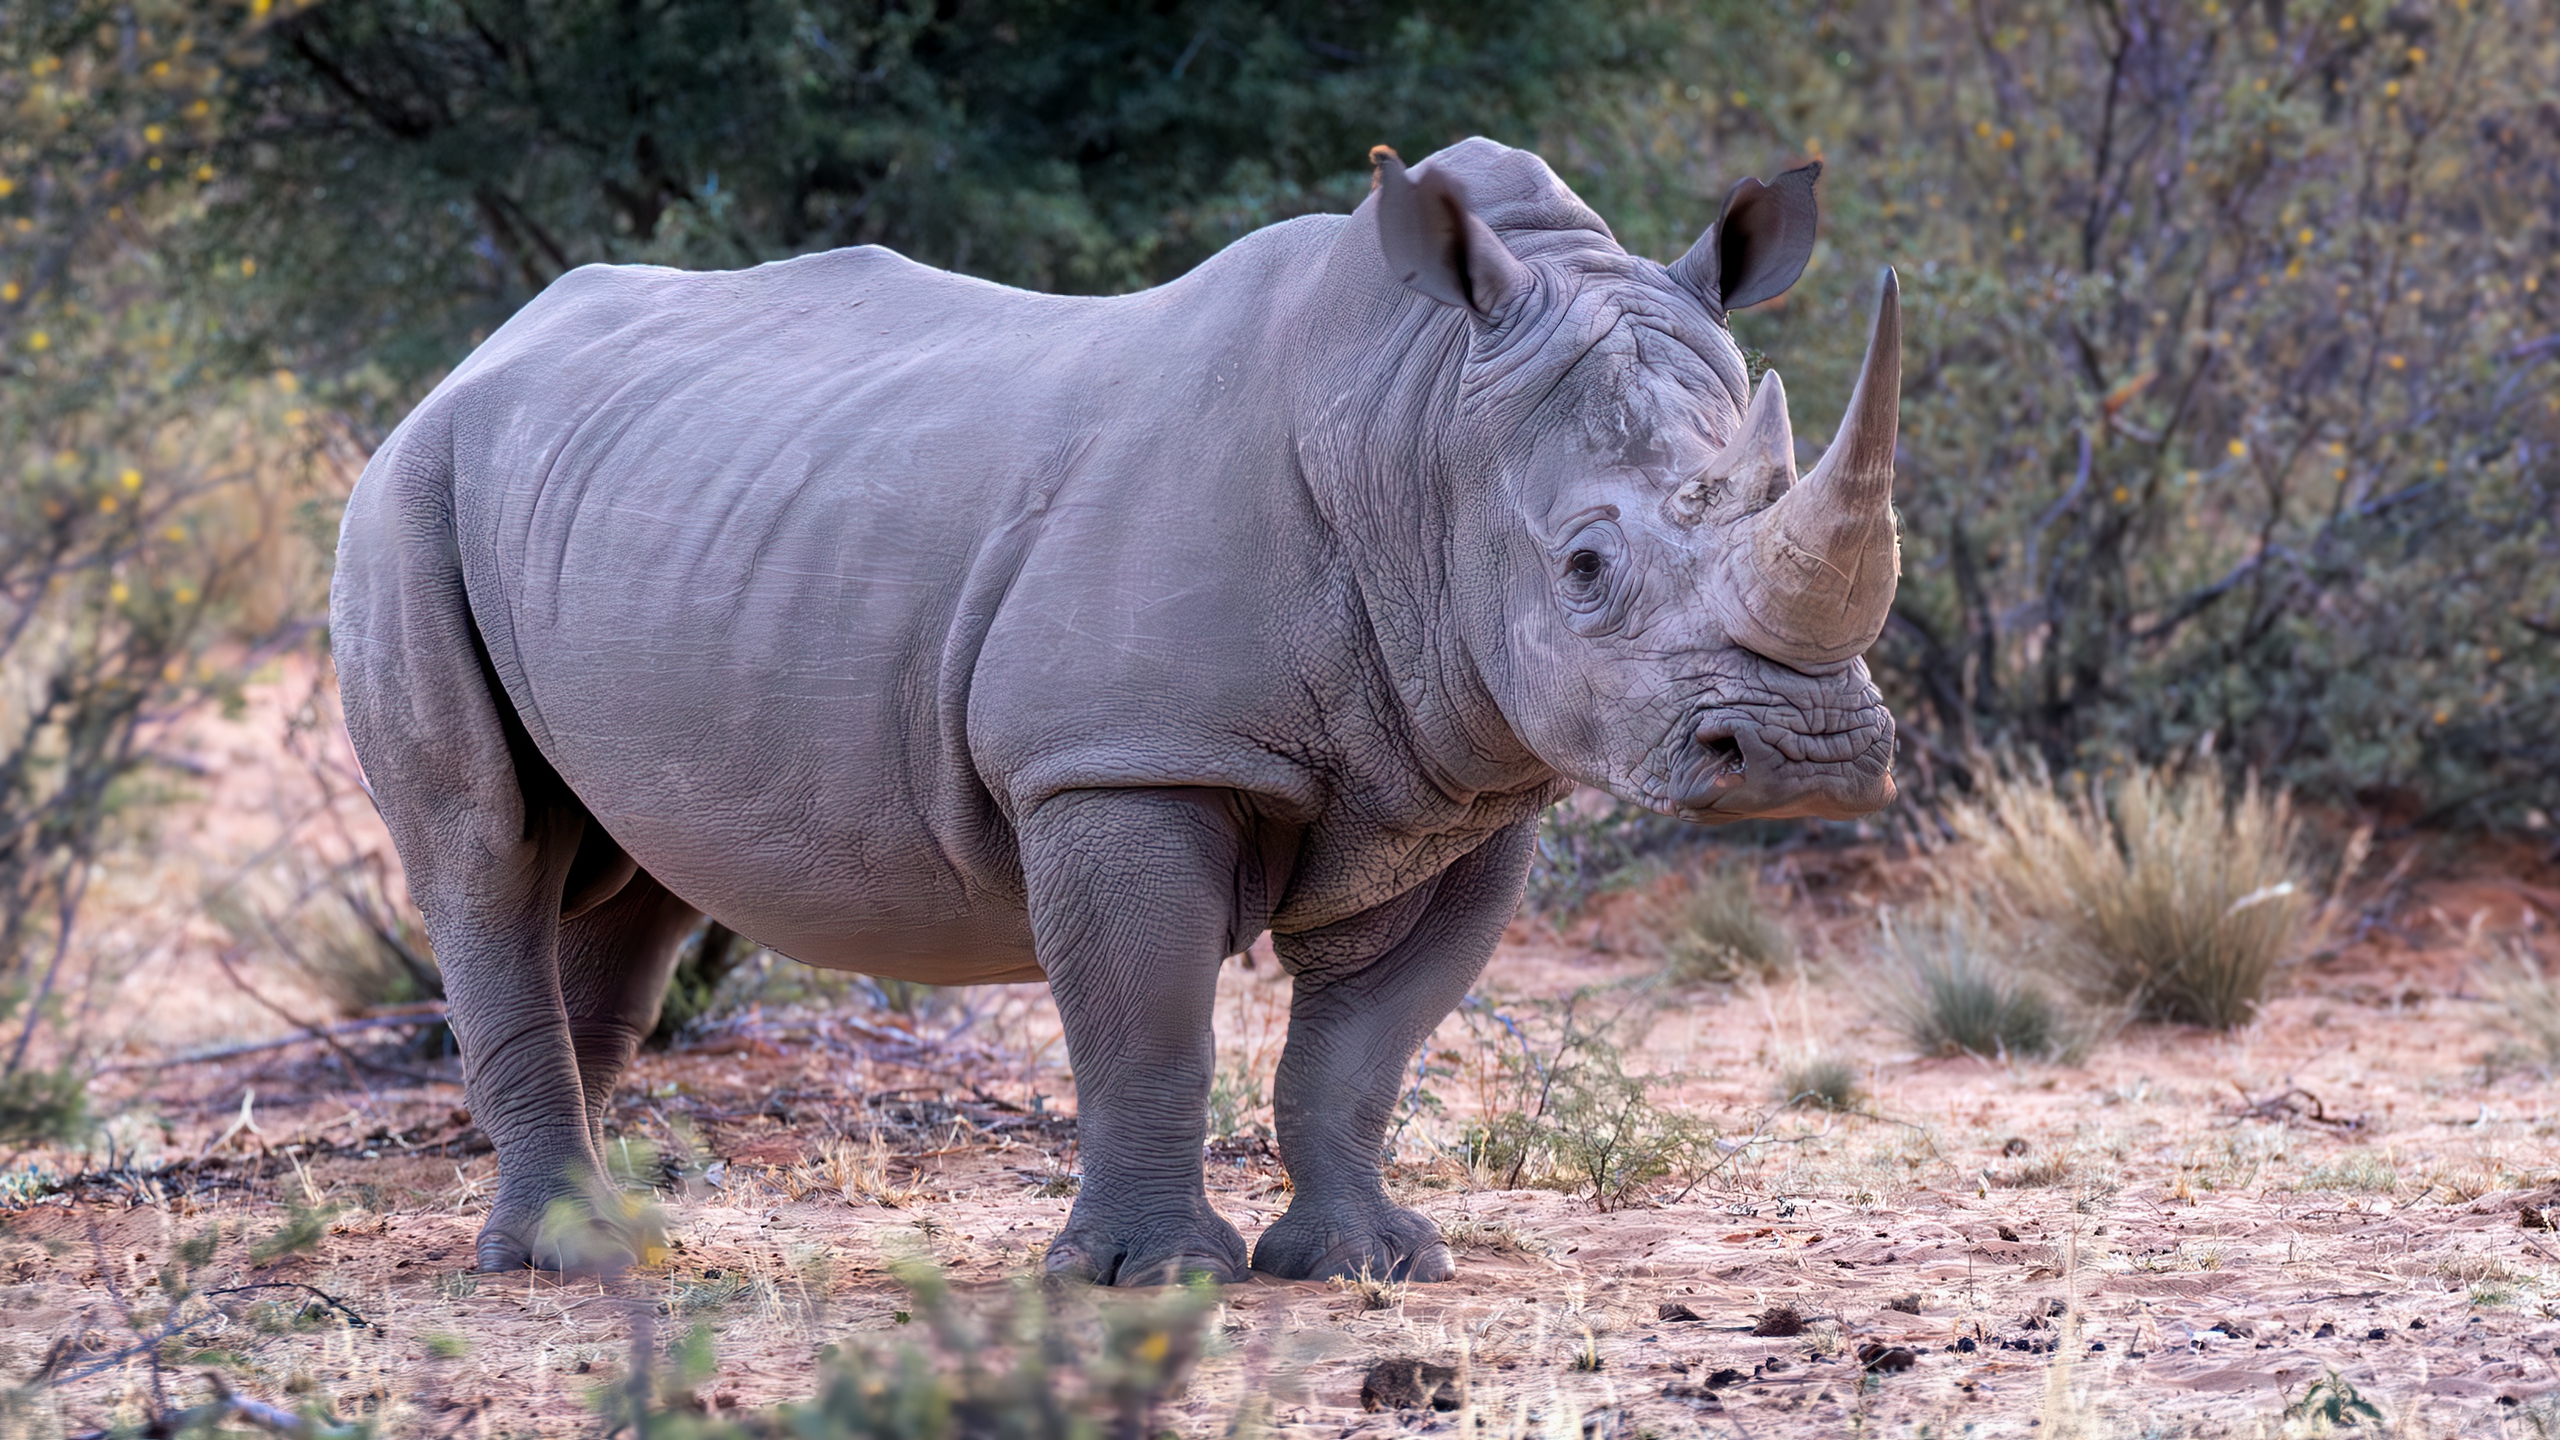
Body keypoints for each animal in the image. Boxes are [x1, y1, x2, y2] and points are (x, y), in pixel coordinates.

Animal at [335, 137, 1904, 1276]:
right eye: (1583, 567)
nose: (1809, 755)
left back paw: (600, 1239)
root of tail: (473, 357)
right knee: (484, 849)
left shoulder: (1467, 779)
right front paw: (1153, 1278)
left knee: (628, 879)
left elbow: (1362, 1048)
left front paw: (1371, 1265)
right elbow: (1151, 1024)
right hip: (405, 490)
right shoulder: (1120, 760)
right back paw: (554, 1264)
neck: (1418, 428)